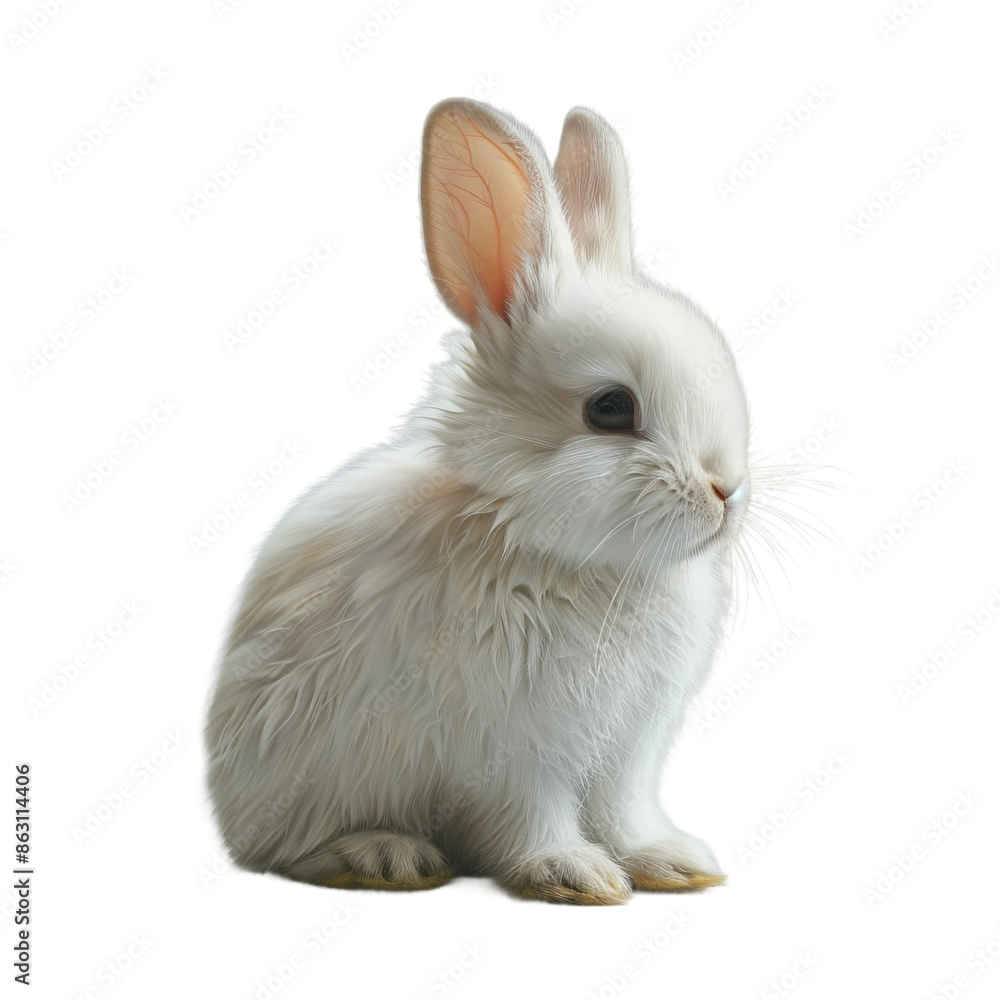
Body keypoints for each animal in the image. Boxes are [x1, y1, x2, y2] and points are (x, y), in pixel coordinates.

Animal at [204, 97, 751, 905]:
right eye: (611, 408)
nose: (727, 490)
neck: (550, 550)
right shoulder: (518, 749)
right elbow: (534, 815)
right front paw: (575, 875)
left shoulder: (626, 749)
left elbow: (624, 813)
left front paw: (673, 863)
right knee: (288, 849)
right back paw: (385, 855)